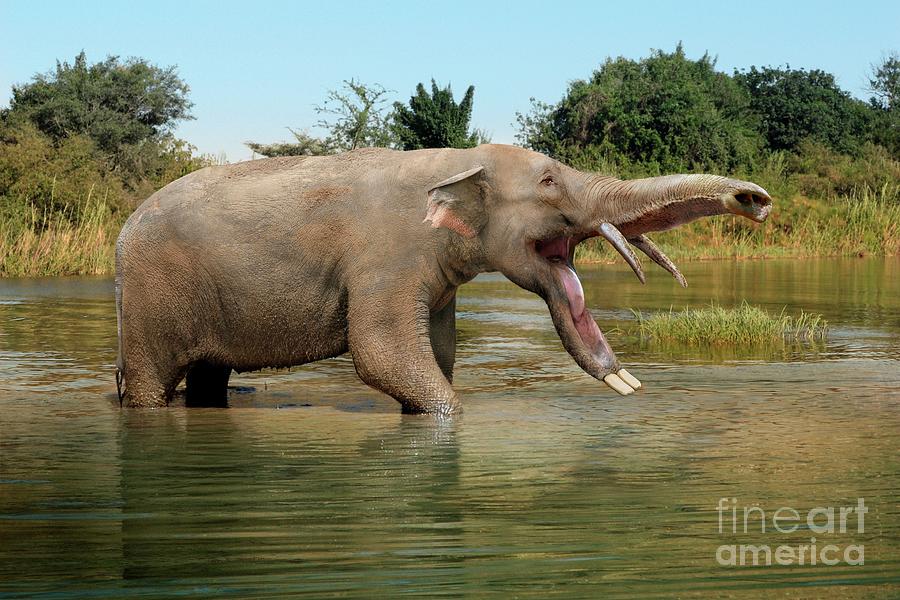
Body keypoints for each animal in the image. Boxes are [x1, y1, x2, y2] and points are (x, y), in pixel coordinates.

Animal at [116, 146, 768, 418]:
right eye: (550, 182)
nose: (756, 200)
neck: (454, 160)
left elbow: (439, 354)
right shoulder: (384, 260)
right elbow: (382, 355)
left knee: (208, 376)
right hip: (149, 297)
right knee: (151, 384)